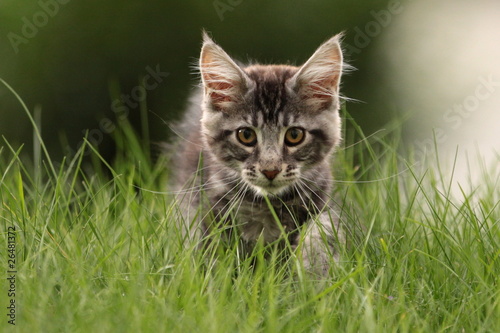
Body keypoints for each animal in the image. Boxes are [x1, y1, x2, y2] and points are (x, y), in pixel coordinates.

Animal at [170, 31, 346, 274]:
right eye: (246, 135)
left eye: (294, 135)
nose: (270, 170)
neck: (267, 205)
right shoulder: (207, 209)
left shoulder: (320, 200)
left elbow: (322, 233)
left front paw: (313, 270)